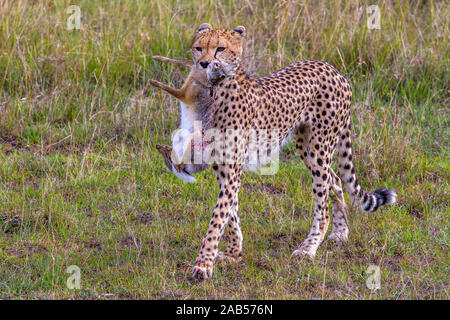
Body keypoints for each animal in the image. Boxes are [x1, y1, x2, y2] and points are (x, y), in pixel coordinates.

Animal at [161, 23, 398, 280]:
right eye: (198, 48)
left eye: (220, 49)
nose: (204, 64)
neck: (217, 92)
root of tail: (334, 70)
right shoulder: (222, 168)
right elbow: (230, 213)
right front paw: (234, 253)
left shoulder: (232, 168)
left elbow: (218, 217)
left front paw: (204, 264)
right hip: (306, 145)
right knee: (334, 180)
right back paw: (340, 233)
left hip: (319, 148)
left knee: (322, 203)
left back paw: (309, 248)